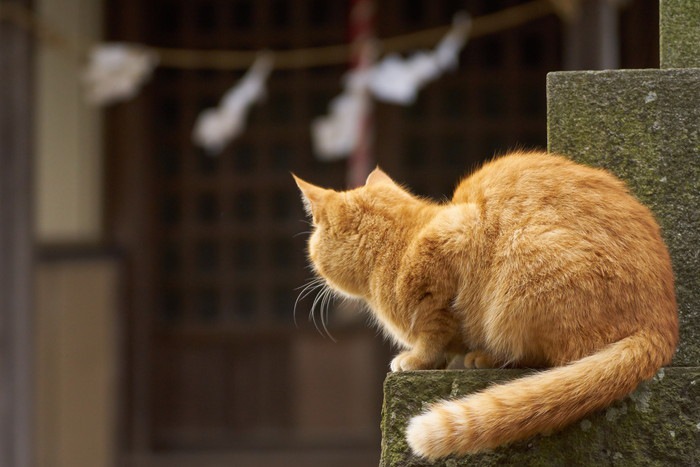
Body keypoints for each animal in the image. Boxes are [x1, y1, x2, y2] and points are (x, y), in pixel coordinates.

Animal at [294, 152, 680, 458]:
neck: (398, 247)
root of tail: (663, 326)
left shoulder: (456, 236)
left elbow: (435, 329)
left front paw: (419, 359)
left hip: (522, 276)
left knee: (560, 358)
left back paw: (488, 357)